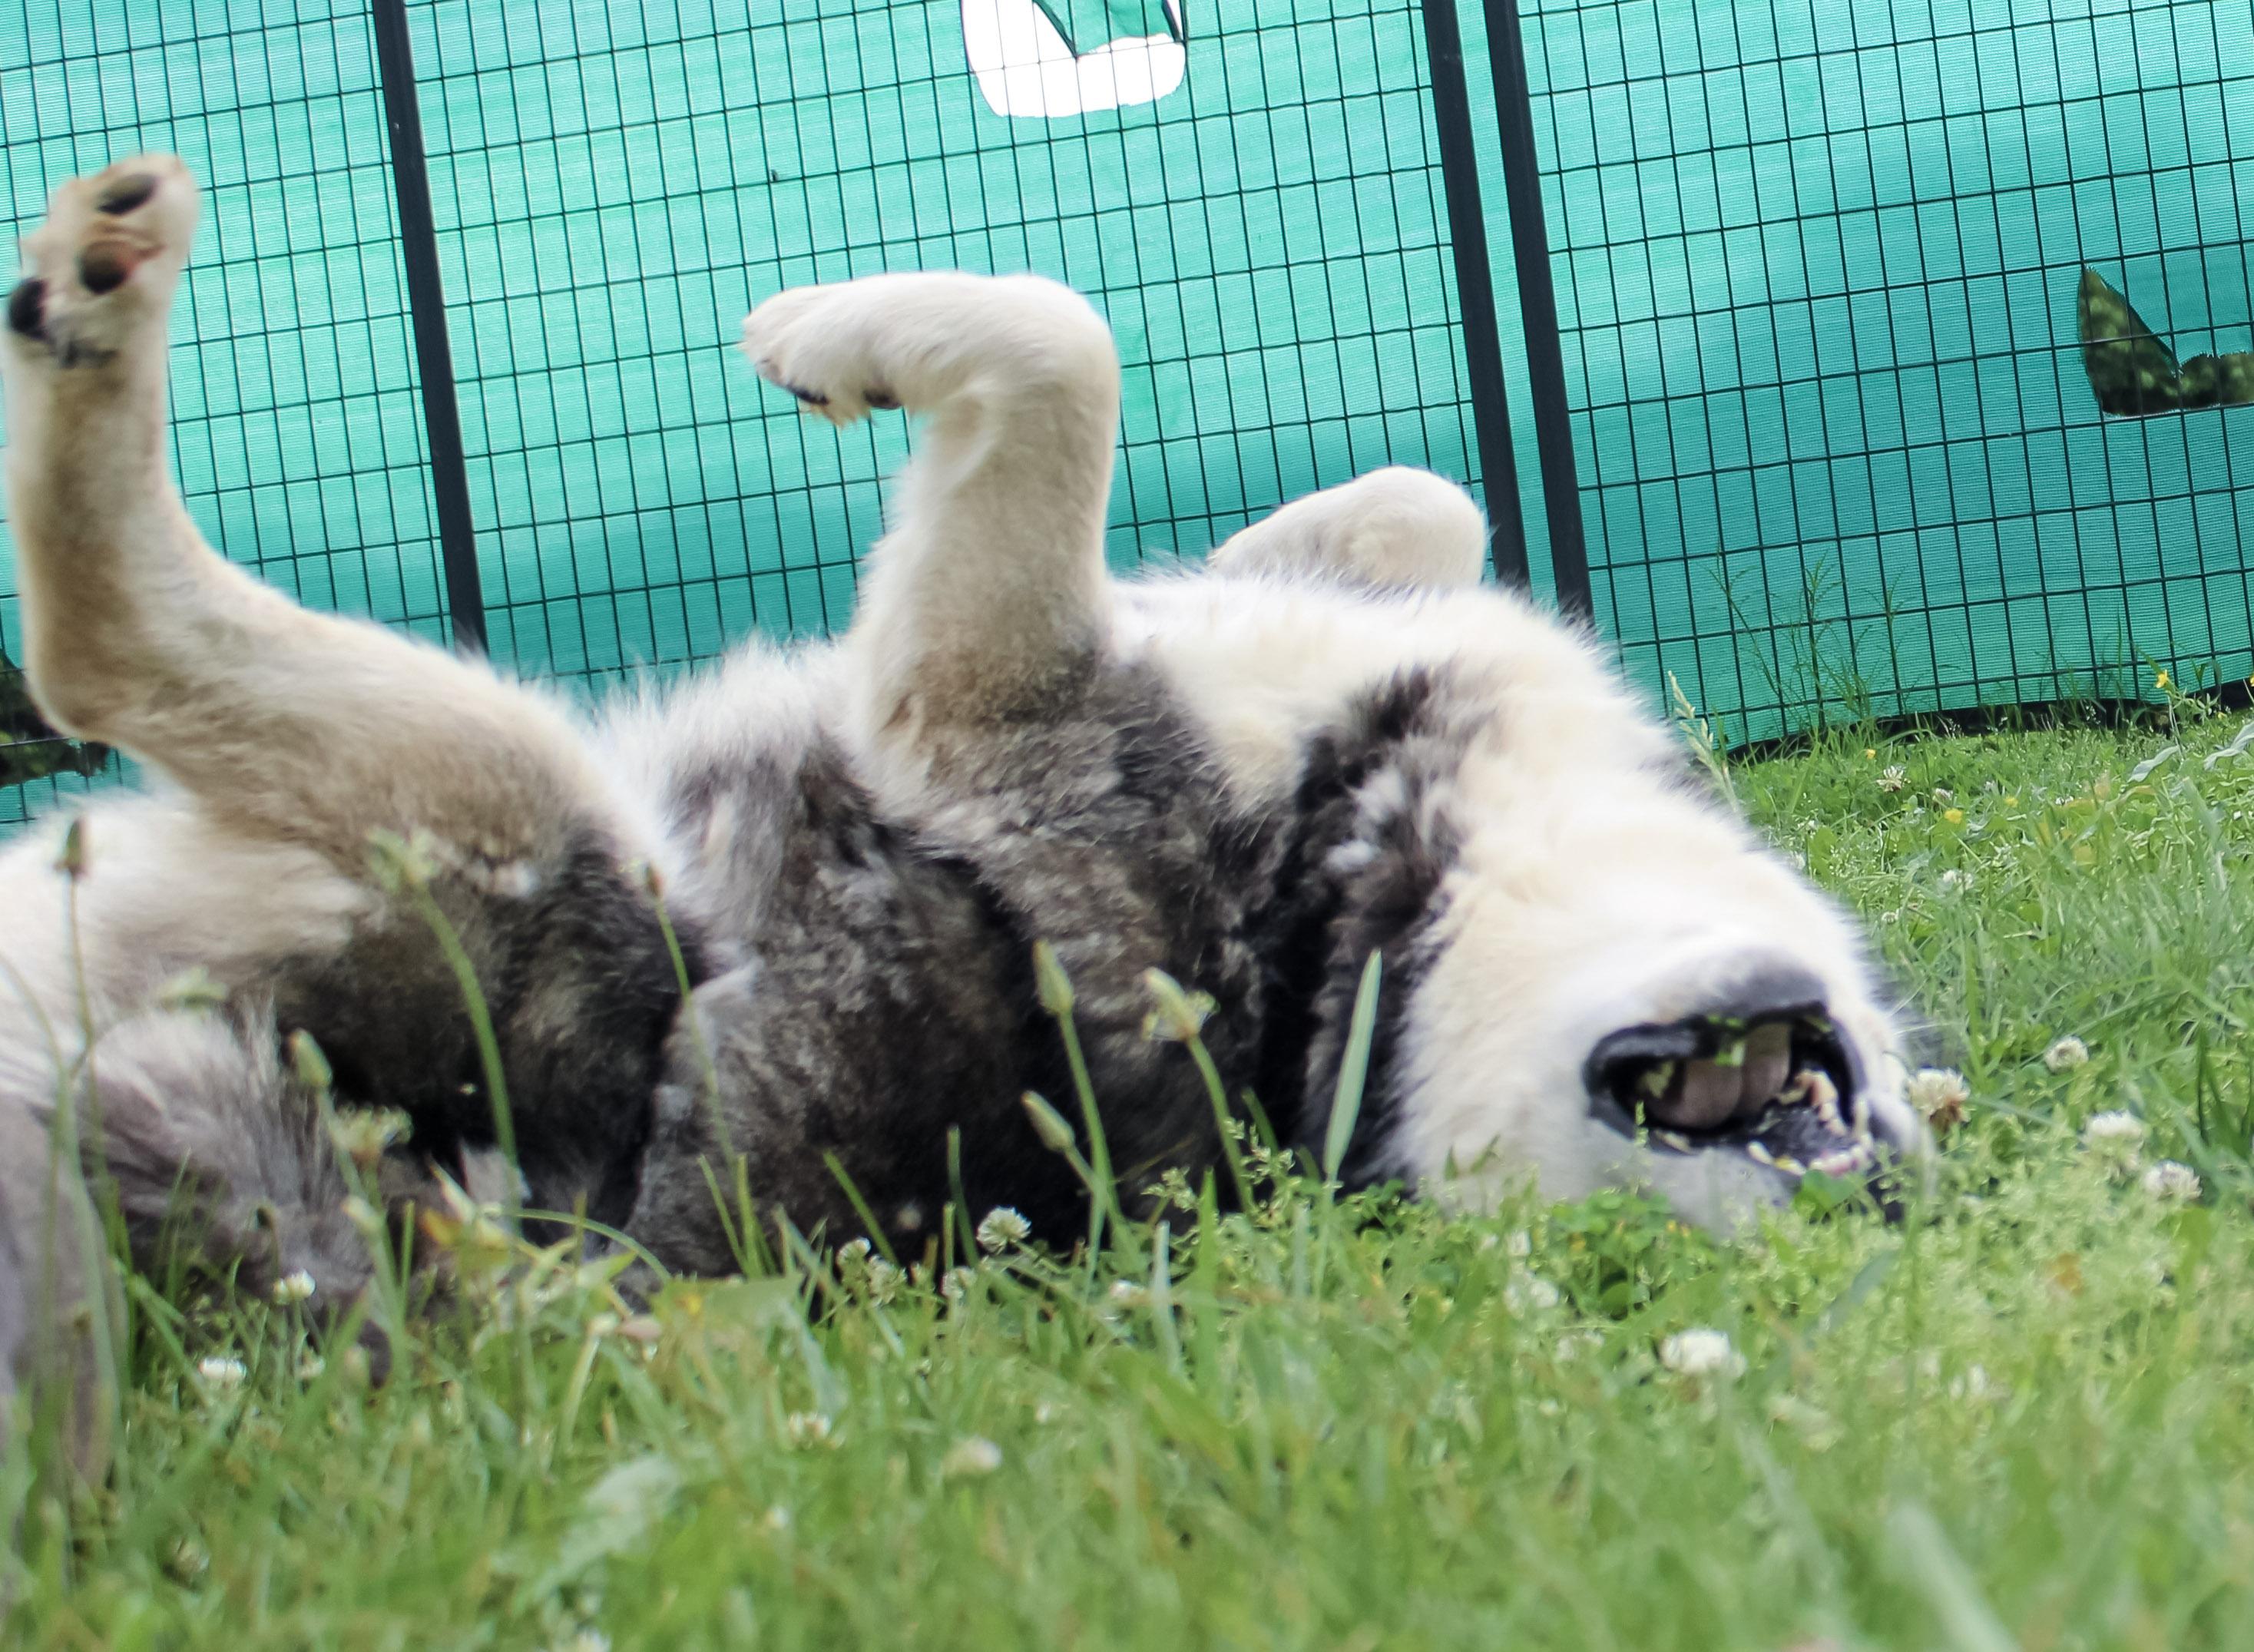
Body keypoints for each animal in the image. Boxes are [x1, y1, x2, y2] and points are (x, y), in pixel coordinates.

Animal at [0, 155, 1926, 1466]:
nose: (1875, 1185)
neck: (1368, 900)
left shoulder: (964, 690)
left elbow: (1063, 350)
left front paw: (821, 339)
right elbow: (1409, 495)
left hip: (527, 824)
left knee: (108, 637)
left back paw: (94, 300)